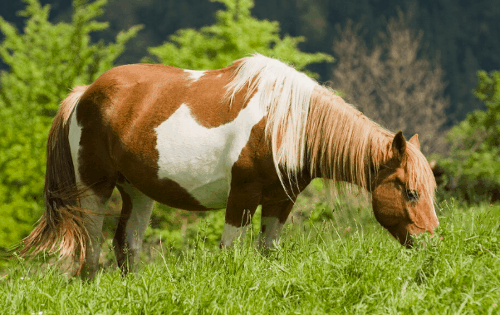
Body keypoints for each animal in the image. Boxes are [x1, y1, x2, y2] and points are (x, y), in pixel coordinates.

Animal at [21, 53, 440, 278]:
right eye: (411, 191)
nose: (434, 245)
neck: (285, 124)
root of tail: (84, 93)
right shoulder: (241, 198)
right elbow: (230, 254)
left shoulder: (280, 202)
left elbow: (267, 252)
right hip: (94, 188)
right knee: (91, 248)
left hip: (138, 191)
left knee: (127, 244)